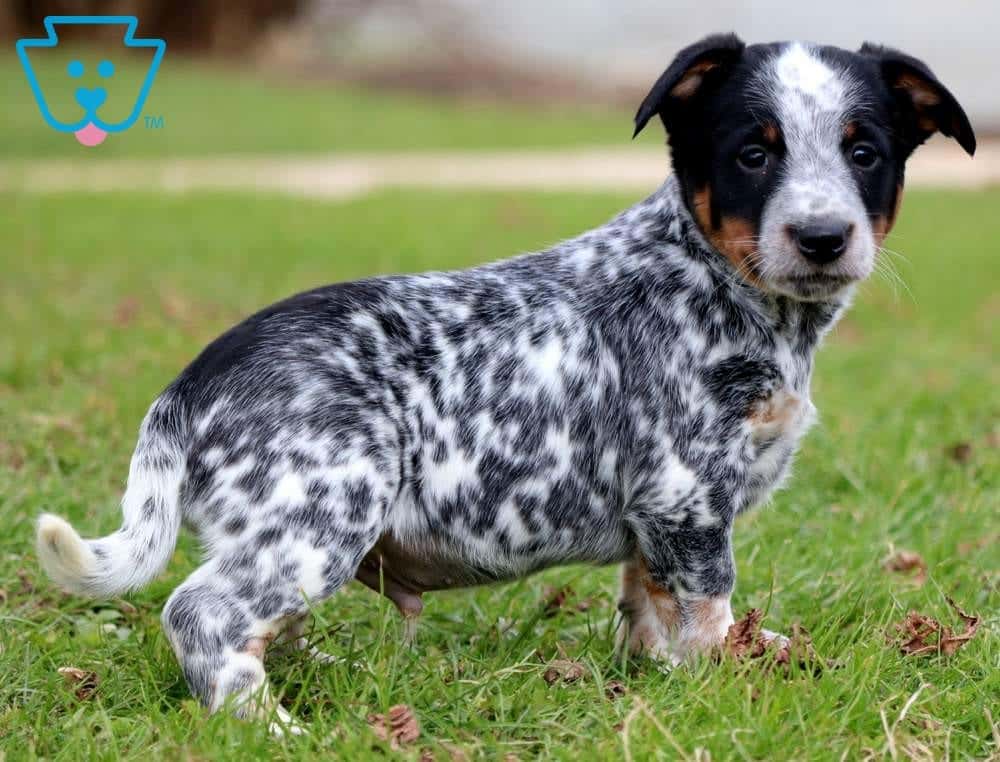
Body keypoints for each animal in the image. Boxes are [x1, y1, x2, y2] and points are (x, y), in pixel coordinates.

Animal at [35, 35, 972, 732]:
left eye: (864, 153)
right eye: (752, 155)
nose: (822, 236)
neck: (718, 283)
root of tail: (191, 383)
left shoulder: (658, 520)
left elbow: (650, 607)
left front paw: (660, 679)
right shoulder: (686, 497)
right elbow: (708, 611)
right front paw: (727, 682)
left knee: (264, 623)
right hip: (319, 514)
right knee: (202, 614)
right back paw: (267, 724)